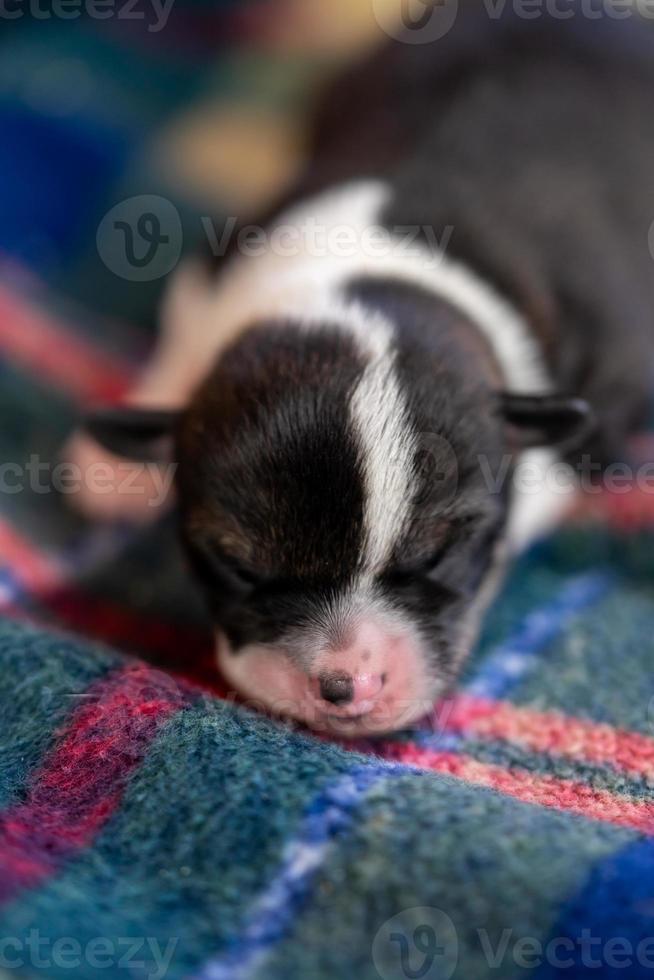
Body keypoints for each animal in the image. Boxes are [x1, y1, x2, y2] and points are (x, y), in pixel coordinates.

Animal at [72, 3, 654, 732]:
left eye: (439, 555)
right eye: (238, 567)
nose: (346, 687)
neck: (367, 277)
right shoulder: (215, 263)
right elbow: (184, 335)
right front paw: (118, 464)